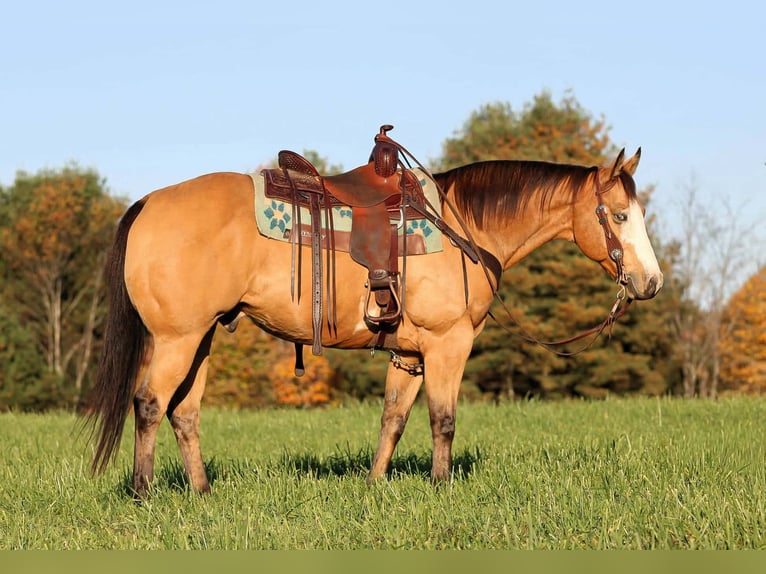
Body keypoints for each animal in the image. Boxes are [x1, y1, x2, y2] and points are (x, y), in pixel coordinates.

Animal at [86, 144, 663, 496]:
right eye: (619, 215)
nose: (650, 282)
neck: (463, 227)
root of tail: (146, 203)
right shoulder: (447, 345)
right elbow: (442, 420)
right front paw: (440, 487)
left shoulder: (408, 355)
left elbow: (393, 419)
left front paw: (374, 485)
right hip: (177, 339)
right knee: (150, 404)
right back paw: (143, 493)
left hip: (202, 338)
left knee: (184, 413)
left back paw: (202, 492)